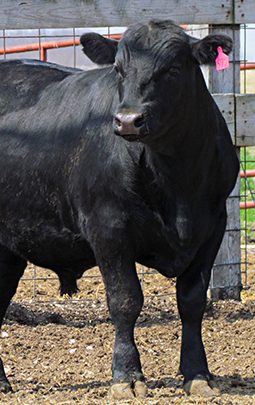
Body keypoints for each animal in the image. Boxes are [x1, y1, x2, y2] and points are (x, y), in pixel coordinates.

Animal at [0, 19, 239, 398]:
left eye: (173, 69)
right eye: (118, 70)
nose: (128, 120)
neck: (176, 181)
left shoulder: (213, 226)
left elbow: (192, 301)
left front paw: (197, 373)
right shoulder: (108, 227)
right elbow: (125, 301)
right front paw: (127, 375)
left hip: (8, 251)